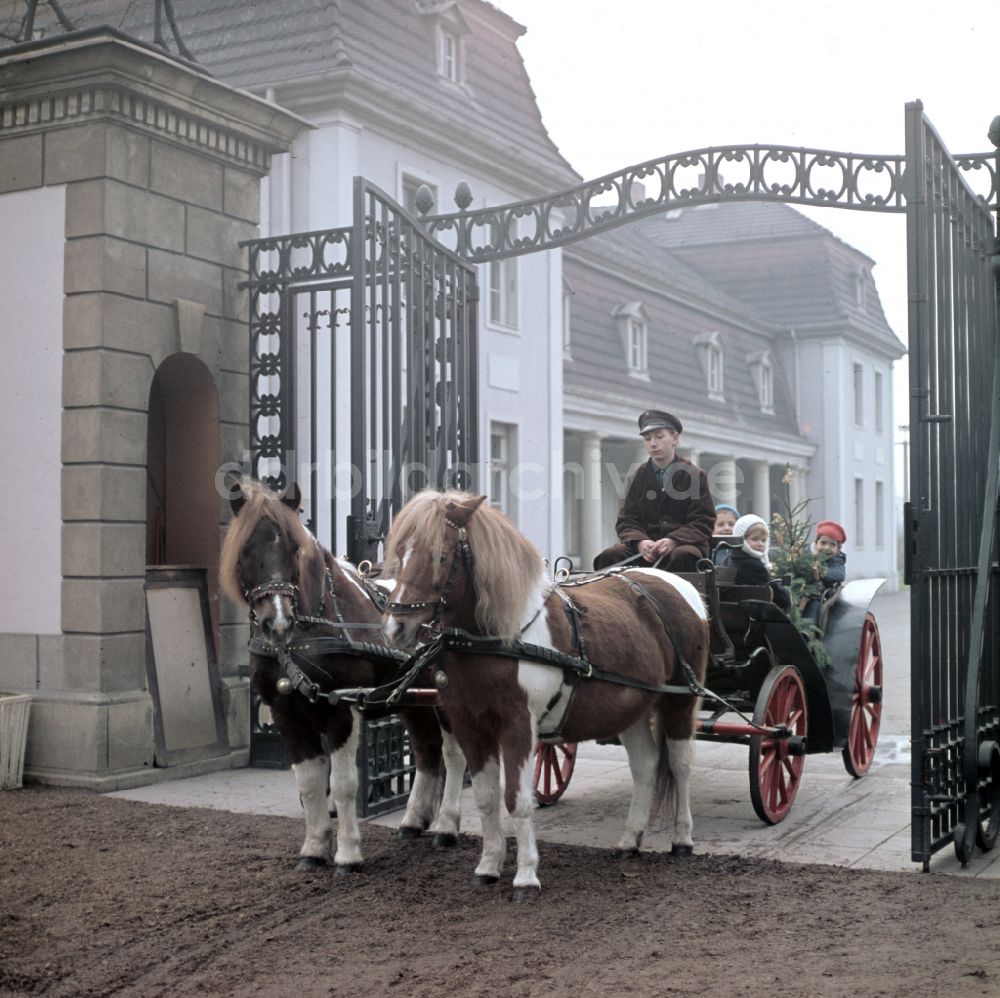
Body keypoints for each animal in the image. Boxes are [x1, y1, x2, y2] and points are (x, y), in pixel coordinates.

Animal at [219, 480, 464, 872]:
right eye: (244, 551)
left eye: (294, 549)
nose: (277, 622)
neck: (306, 633)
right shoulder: (286, 715)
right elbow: (309, 784)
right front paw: (314, 848)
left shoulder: (340, 710)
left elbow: (345, 783)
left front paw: (348, 853)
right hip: (413, 700)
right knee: (427, 750)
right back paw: (414, 820)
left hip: (444, 698)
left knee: (454, 755)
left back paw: (446, 826)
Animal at [378, 488, 708, 904]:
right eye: (400, 551)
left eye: (440, 555)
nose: (396, 626)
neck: (499, 638)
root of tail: (675, 583)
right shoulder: (470, 725)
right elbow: (486, 798)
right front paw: (488, 867)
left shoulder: (518, 727)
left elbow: (516, 800)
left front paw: (525, 876)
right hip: (633, 707)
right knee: (646, 766)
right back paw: (629, 840)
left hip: (680, 700)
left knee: (680, 766)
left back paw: (682, 839)